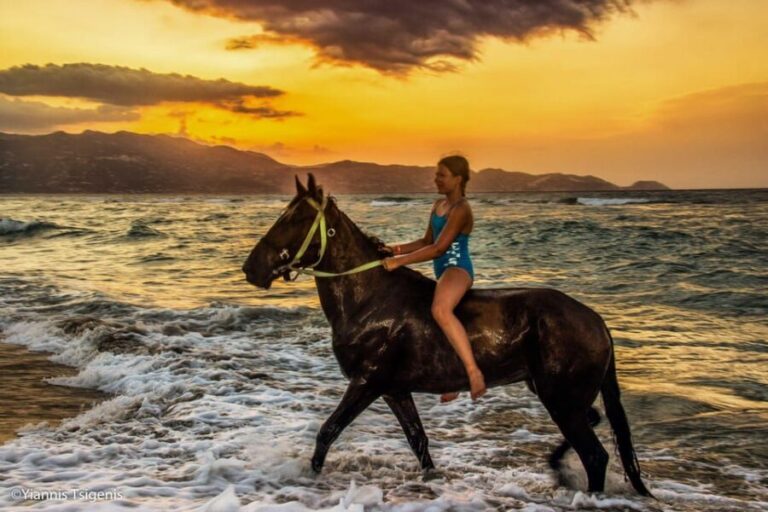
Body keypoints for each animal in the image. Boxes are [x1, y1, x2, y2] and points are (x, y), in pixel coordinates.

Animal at [242, 174, 652, 497]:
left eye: (295, 218)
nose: (250, 269)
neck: (368, 297)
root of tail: (596, 320)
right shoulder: (394, 389)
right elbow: (418, 441)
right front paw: (431, 479)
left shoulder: (366, 382)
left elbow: (327, 432)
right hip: (558, 394)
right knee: (593, 423)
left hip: (561, 398)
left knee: (595, 455)